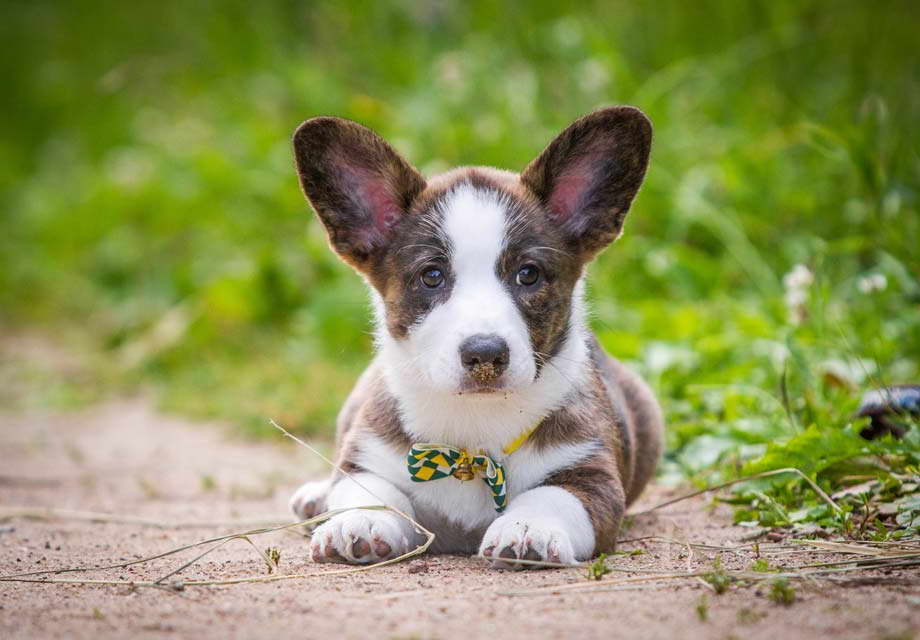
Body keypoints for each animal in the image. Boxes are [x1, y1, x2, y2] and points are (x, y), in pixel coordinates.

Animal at [288, 106, 660, 568]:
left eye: (528, 274)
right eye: (431, 276)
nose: (485, 354)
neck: (472, 433)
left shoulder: (594, 476)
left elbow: (552, 496)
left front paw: (528, 528)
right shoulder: (369, 458)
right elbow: (370, 491)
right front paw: (359, 522)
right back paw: (315, 497)